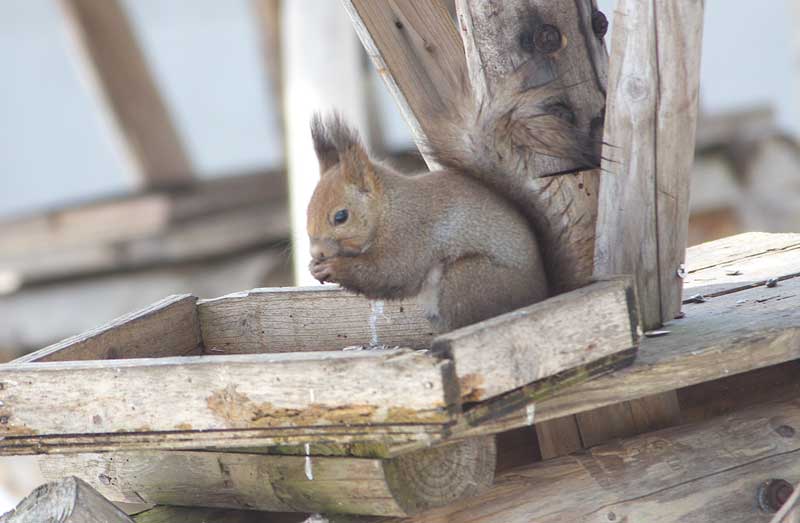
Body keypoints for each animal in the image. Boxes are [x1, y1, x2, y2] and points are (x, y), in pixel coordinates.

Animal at [306, 73, 592, 334]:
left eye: (341, 216)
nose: (317, 253)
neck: (387, 210)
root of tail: (542, 293)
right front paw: (314, 268)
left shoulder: (409, 235)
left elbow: (389, 272)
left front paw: (334, 267)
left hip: (467, 280)